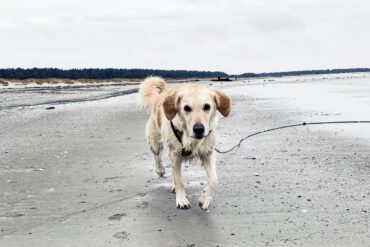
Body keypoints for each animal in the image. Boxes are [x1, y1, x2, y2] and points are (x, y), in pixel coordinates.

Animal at [138, 76, 231, 209]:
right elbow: (179, 181)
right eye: (186, 108)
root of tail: (158, 98)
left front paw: (204, 199)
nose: (199, 129)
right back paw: (160, 169)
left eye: (207, 106)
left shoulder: (208, 152)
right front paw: (181, 200)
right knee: (157, 156)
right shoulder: (175, 154)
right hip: (155, 141)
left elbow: (214, 180)